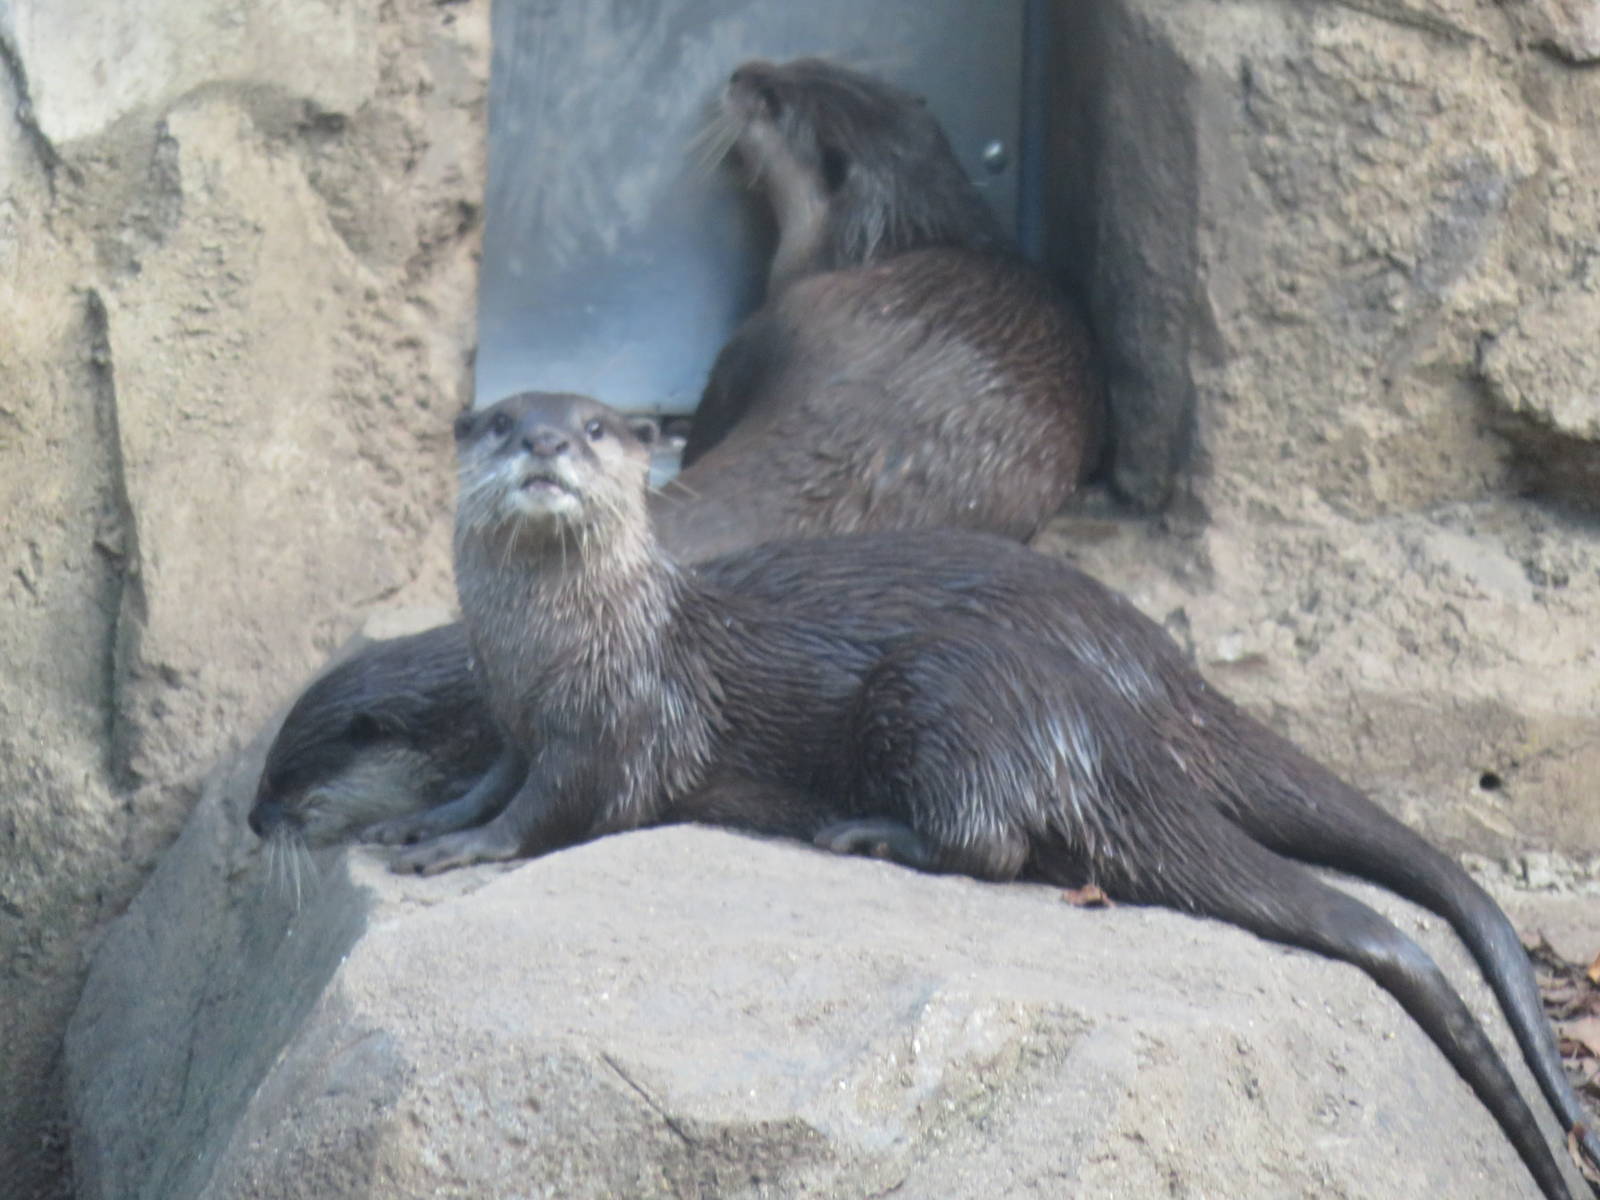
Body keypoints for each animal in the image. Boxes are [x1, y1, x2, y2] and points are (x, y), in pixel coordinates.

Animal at [349, 390, 1590, 1198]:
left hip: (937, 694)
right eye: (504, 422)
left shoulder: (616, 730)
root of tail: (1096, 716)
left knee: (990, 844)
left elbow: (553, 815)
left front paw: (460, 852)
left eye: (597, 427)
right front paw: (416, 821)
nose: (547, 442)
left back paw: (867, 832)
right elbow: (485, 785)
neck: (559, 650)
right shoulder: (519, 721)